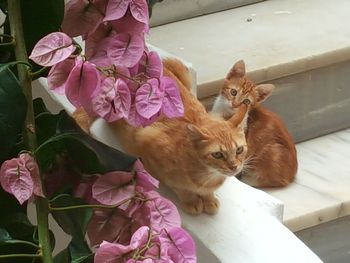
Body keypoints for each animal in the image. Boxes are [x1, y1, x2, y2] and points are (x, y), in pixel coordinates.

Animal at [74, 60, 249, 217]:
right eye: (217, 154)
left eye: (239, 150)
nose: (234, 166)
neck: (207, 175)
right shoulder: (147, 146)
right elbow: (178, 186)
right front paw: (191, 200)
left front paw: (209, 198)